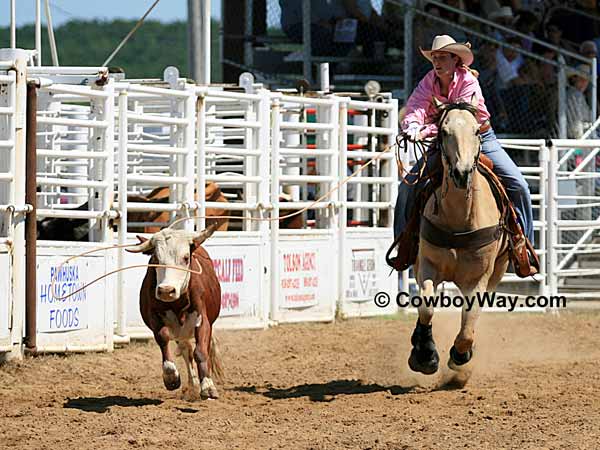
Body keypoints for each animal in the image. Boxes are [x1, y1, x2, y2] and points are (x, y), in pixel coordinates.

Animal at [126, 223, 223, 400]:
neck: (178, 303)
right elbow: (163, 338)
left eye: (185, 258)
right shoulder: (154, 317)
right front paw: (171, 377)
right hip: (180, 333)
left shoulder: (203, 320)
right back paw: (192, 385)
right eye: (156, 259)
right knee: (186, 351)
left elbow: (201, 351)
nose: (166, 290)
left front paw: (207, 386)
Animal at [406, 94, 508, 380]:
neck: (459, 218)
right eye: (443, 131)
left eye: (476, 131)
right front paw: (425, 355)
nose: (462, 173)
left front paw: (461, 356)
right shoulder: (427, 266)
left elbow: (470, 319)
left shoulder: (480, 277)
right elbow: (426, 306)